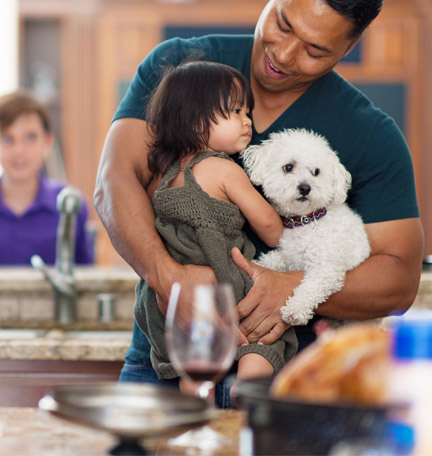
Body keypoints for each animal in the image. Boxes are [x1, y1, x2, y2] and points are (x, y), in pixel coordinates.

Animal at [241, 130, 370, 326]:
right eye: (288, 167)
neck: (305, 221)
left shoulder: (326, 269)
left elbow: (310, 288)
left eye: (316, 172)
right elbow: (272, 259)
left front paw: (295, 309)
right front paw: (258, 264)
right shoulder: (288, 257)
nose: (305, 187)